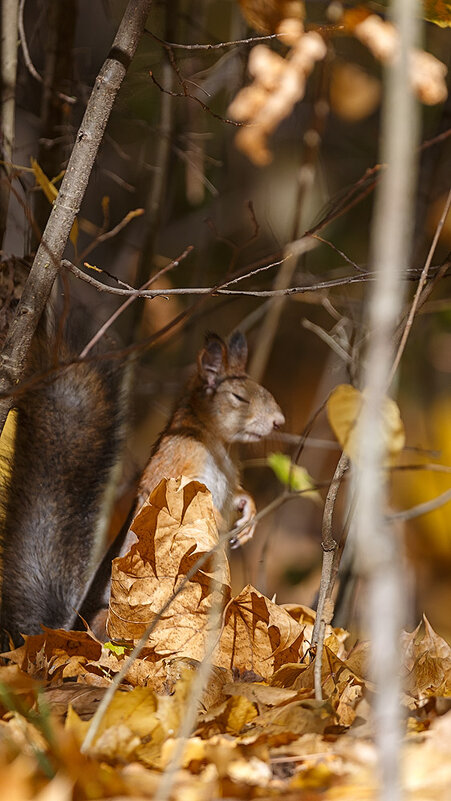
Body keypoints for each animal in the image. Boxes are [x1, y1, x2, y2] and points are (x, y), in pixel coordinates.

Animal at [0, 322, 284, 648]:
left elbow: (237, 496)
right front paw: (215, 527)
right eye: (239, 398)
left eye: (266, 391)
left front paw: (248, 516)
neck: (215, 443)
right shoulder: (173, 466)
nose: (279, 421)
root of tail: (69, 634)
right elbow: (178, 503)